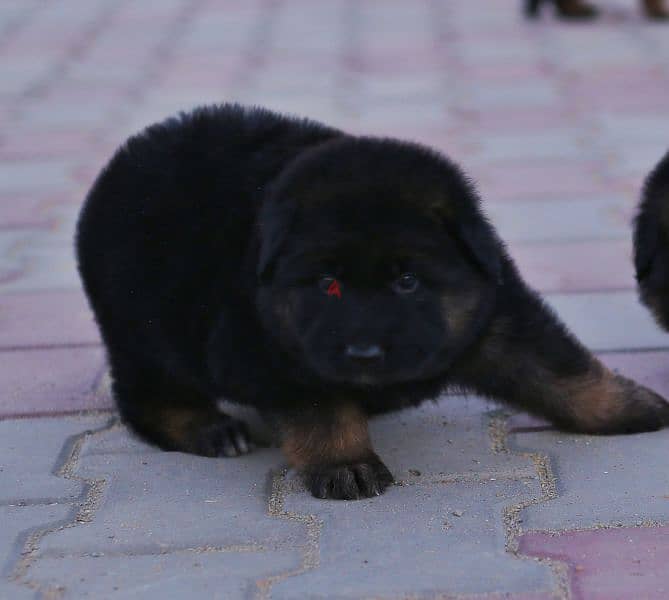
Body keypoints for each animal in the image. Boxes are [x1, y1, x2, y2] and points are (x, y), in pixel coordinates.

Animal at [77, 104, 668, 502]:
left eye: (407, 281)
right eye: (326, 283)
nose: (363, 353)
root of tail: (121, 165)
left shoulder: (497, 314)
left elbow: (561, 370)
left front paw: (630, 405)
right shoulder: (277, 351)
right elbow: (322, 409)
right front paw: (346, 463)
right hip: (141, 328)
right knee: (146, 393)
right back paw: (209, 428)